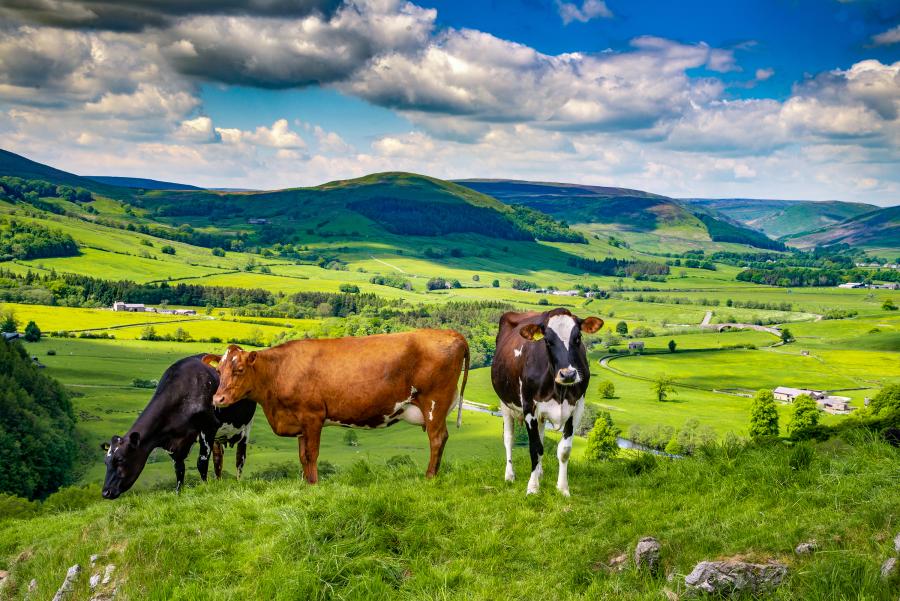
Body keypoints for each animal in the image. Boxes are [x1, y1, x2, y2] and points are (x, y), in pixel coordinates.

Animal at [101, 355, 256, 499]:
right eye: (106, 462)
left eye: (120, 460)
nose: (105, 492)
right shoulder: (174, 442)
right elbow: (179, 468)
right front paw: (178, 493)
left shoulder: (208, 427)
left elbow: (201, 462)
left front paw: (205, 488)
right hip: (219, 436)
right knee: (218, 460)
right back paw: (218, 482)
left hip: (246, 427)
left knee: (240, 458)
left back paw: (238, 481)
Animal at [205, 329, 470, 483]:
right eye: (219, 370)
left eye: (239, 370)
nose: (218, 400)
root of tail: (450, 332)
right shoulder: (300, 423)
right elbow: (302, 456)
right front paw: (305, 484)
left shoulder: (312, 416)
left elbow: (311, 455)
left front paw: (314, 485)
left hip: (434, 403)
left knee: (437, 439)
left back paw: (429, 476)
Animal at [491, 308, 603, 496]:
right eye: (547, 341)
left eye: (578, 337)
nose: (568, 374)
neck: (559, 389)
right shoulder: (529, 407)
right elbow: (535, 448)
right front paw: (532, 487)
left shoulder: (577, 407)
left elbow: (564, 450)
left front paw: (563, 488)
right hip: (505, 403)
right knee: (509, 439)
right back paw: (510, 475)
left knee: (542, 436)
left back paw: (540, 472)